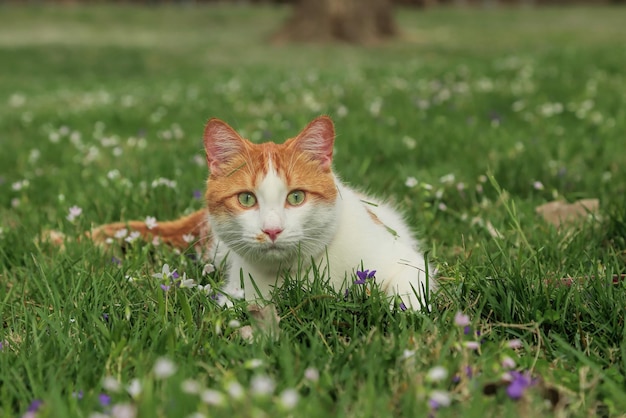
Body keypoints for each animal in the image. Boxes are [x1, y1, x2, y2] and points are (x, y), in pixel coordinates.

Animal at [89, 116, 434, 308]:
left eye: (296, 197)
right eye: (246, 199)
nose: (272, 230)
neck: (302, 270)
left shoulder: (406, 261)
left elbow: (410, 291)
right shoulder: (239, 294)